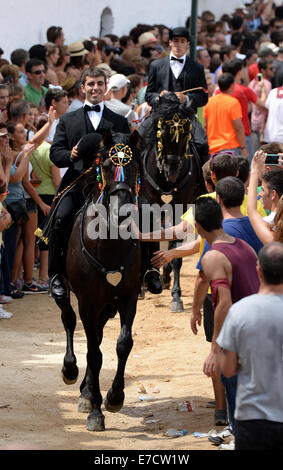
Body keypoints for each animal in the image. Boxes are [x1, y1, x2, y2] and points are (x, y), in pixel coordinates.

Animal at [56, 130, 142, 432]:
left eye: (135, 165)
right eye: (105, 166)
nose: (122, 211)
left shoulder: (128, 296)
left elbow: (122, 344)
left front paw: (114, 397)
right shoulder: (87, 301)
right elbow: (93, 353)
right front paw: (95, 410)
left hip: (107, 304)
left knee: (100, 334)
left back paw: (86, 389)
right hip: (73, 295)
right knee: (69, 320)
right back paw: (71, 371)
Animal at [139, 92, 209, 312]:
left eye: (186, 132)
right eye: (162, 131)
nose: (173, 171)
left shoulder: (180, 208)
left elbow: (175, 251)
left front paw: (176, 296)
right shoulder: (147, 207)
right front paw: (145, 283)